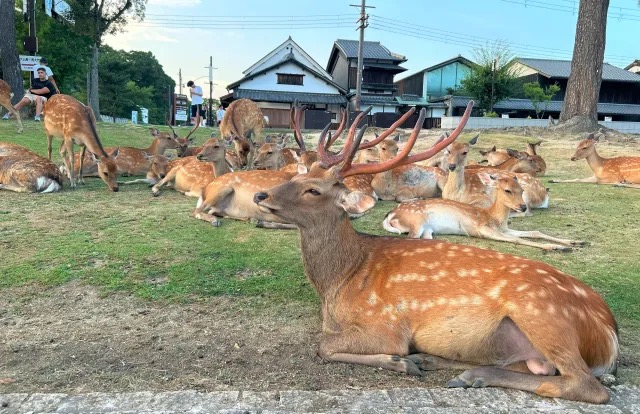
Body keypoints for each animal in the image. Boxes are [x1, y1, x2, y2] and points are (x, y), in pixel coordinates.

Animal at [382, 173, 584, 251]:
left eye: (522, 189)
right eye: (507, 190)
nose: (523, 207)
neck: (495, 218)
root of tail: (392, 213)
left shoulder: (504, 228)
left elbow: (534, 232)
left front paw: (574, 242)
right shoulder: (482, 228)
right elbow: (517, 240)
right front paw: (555, 247)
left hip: (428, 229)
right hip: (416, 221)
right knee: (409, 238)